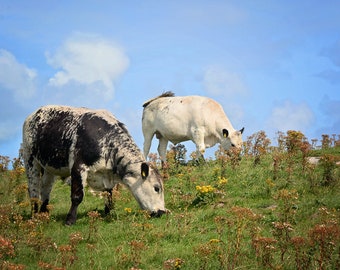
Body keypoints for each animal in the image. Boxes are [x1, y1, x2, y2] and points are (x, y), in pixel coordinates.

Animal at [21, 105, 166, 226]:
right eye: (156, 188)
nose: (162, 211)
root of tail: (33, 115)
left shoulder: (107, 175)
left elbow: (109, 195)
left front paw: (108, 213)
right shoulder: (78, 167)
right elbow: (77, 196)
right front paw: (70, 220)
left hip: (49, 167)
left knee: (45, 189)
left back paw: (44, 213)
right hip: (30, 160)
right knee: (33, 190)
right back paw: (34, 215)